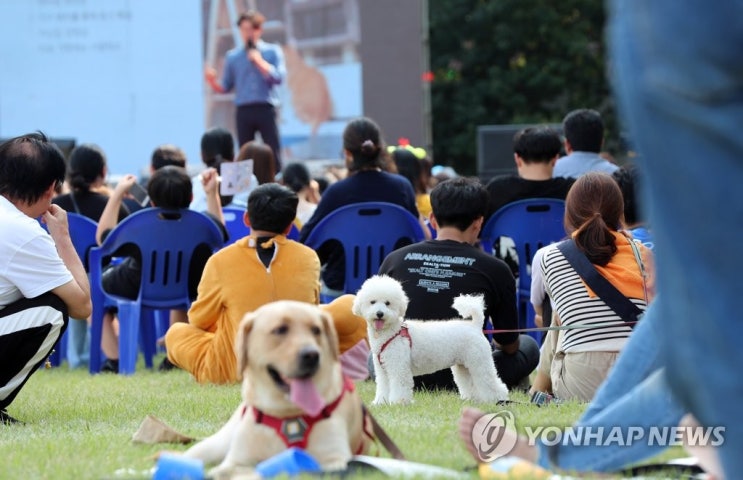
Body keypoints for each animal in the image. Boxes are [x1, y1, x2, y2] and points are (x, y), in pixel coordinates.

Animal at [352, 274, 508, 404]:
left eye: (387, 303)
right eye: (372, 302)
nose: (379, 314)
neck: (391, 332)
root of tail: (475, 326)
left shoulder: (398, 367)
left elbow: (399, 386)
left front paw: (398, 403)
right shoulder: (383, 370)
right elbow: (383, 387)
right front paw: (380, 403)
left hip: (479, 361)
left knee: (491, 382)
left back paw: (498, 400)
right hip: (464, 365)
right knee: (470, 384)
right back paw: (474, 400)